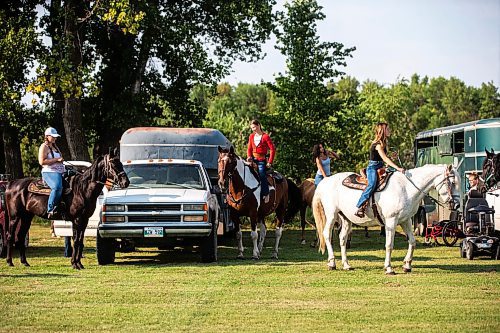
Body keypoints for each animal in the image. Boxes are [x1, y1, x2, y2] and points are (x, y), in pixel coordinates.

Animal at [312, 162, 460, 274]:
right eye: (452, 182)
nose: (457, 204)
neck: (406, 188)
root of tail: (325, 181)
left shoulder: (405, 221)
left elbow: (412, 242)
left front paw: (407, 266)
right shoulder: (391, 221)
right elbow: (389, 244)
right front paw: (389, 268)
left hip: (346, 219)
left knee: (342, 238)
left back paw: (346, 265)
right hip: (331, 214)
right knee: (327, 234)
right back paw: (332, 263)